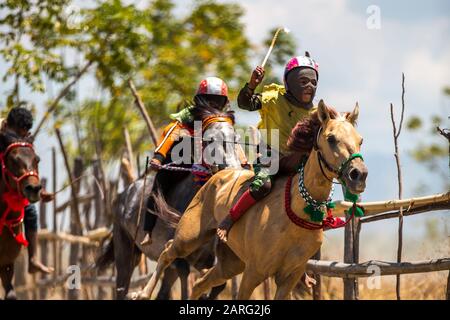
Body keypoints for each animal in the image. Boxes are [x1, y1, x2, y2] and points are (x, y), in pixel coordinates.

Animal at [136, 100, 366, 300]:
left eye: (360, 140)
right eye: (331, 138)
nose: (359, 174)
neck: (295, 213)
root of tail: (216, 176)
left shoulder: (289, 278)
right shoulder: (254, 272)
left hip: (230, 264)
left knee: (200, 284)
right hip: (189, 237)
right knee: (168, 252)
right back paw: (142, 293)